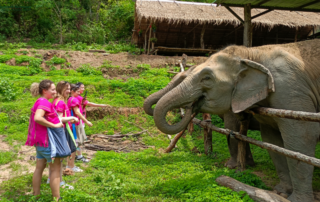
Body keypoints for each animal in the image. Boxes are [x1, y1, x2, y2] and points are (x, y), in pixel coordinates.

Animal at [149, 39, 320, 202]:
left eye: (207, 78)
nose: (192, 105)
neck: (253, 54)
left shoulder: (292, 92)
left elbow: (302, 138)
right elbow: (272, 141)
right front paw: (280, 192)